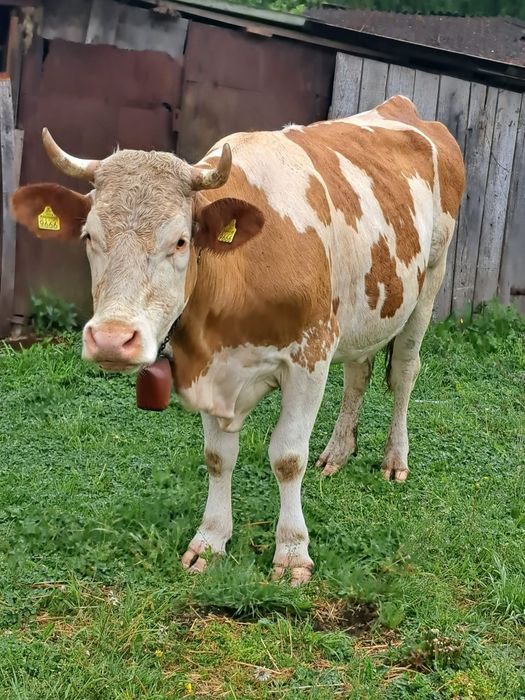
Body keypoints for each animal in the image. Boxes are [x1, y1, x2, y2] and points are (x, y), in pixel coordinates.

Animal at [11, 96, 465, 585]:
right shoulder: (208, 366)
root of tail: (403, 108)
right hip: (364, 310)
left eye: (181, 241)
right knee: (358, 373)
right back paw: (337, 453)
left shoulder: (311, 355)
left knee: (403, 372)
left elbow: (287, 457)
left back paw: (394, 459)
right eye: (89, 235)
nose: (113, 340)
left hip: (430, 280)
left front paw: (292, 553)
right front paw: (210, 541)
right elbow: (217, 456)